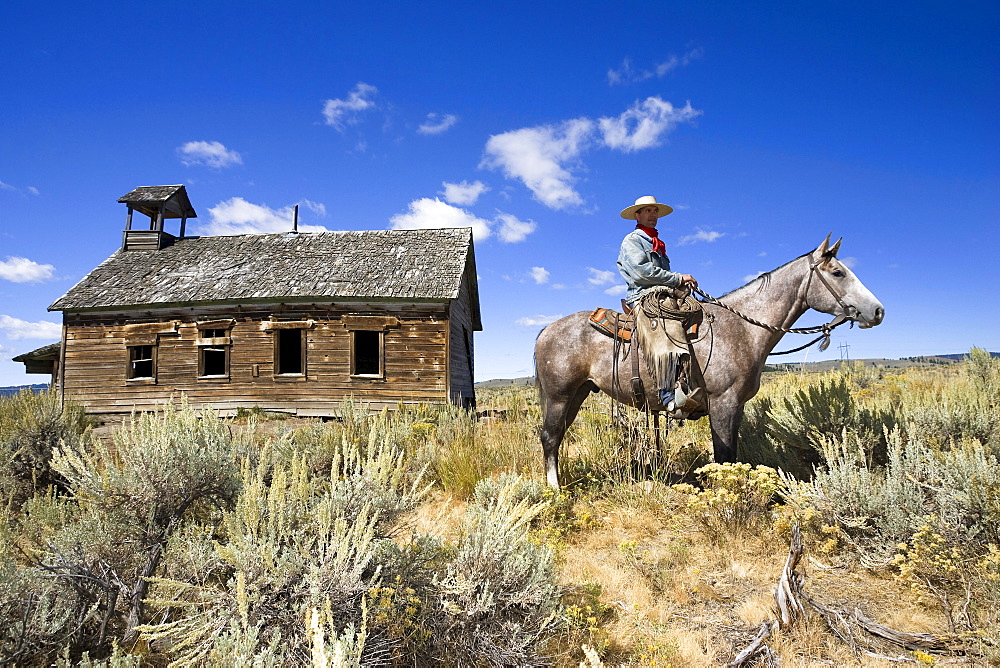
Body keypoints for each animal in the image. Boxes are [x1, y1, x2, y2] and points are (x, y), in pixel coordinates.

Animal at [536, 237, 888, 488]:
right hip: (559, 395)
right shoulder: (723, 403)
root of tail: (546, 330)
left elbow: (730, 455)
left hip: (578, 393)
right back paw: (555, 491)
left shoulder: (737, 406)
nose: (878, 311)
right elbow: (723, 455)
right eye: (838, 272)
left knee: (557, 436)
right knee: (550, 437)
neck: (742, 328)